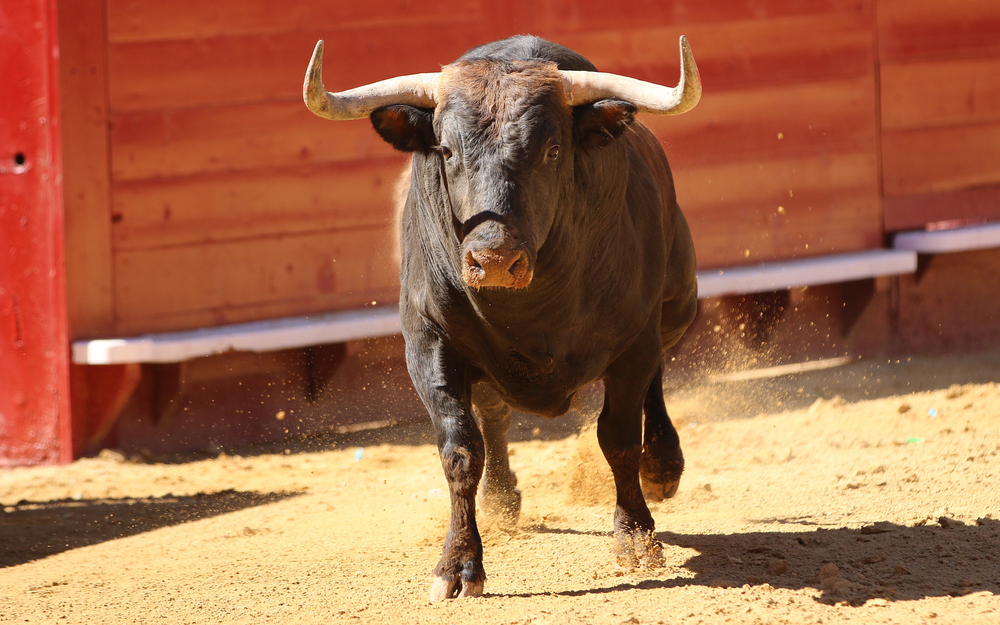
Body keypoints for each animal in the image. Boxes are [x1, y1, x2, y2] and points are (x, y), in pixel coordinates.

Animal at [303, 35, 701, 600]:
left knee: (657, 379)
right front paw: (457, 565)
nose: (492, 259)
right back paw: (501, 500)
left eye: (552, 151)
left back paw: (664, 466)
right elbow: (460, 451)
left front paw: (637, 539)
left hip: (676, 302)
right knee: (492, 417)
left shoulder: (632, 343)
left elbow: (620, 439)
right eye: (447, 151)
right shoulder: (428, 345)